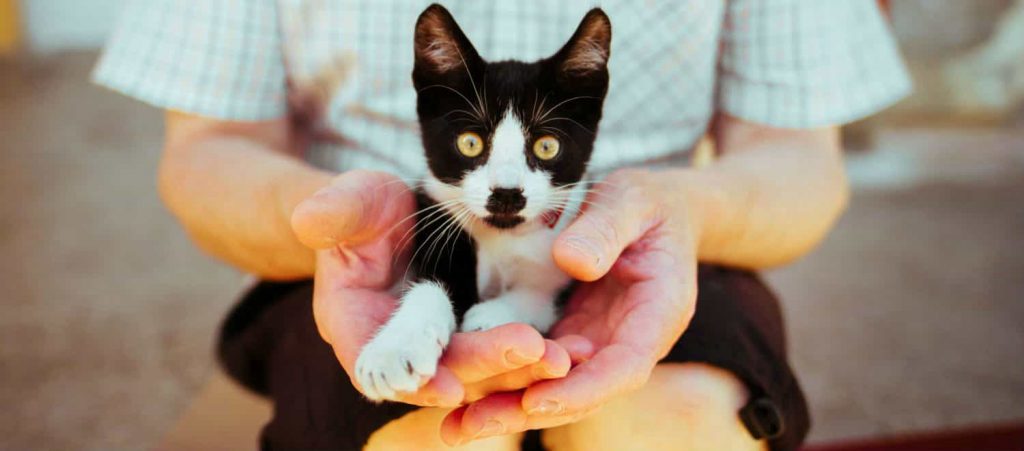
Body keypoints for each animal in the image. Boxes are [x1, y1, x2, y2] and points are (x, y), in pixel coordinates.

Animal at [354, 1, 606, 399]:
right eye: (470, 142)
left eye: (546, 146)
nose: (506, 192)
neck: (504, 235)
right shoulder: (435, 216)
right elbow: (430, 283)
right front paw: (394, 350)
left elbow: (544, 293)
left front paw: (491, 315)